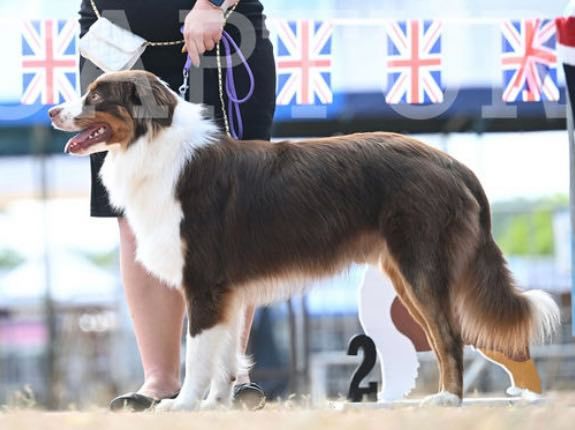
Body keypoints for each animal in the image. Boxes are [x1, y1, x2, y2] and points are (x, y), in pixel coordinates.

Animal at [47, 69, 560, 406]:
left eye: (95, 96)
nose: (52, 110)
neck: (156, 145)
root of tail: (449, 161)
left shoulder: (204, 282)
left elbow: (197, 353)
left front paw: (183, 405)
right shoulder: (227, 290)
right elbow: (223, 354)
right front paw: (216, 405)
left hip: (420, 266)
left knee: (450, 335)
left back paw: (449, 401)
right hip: (404, 271)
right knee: (452, 334)